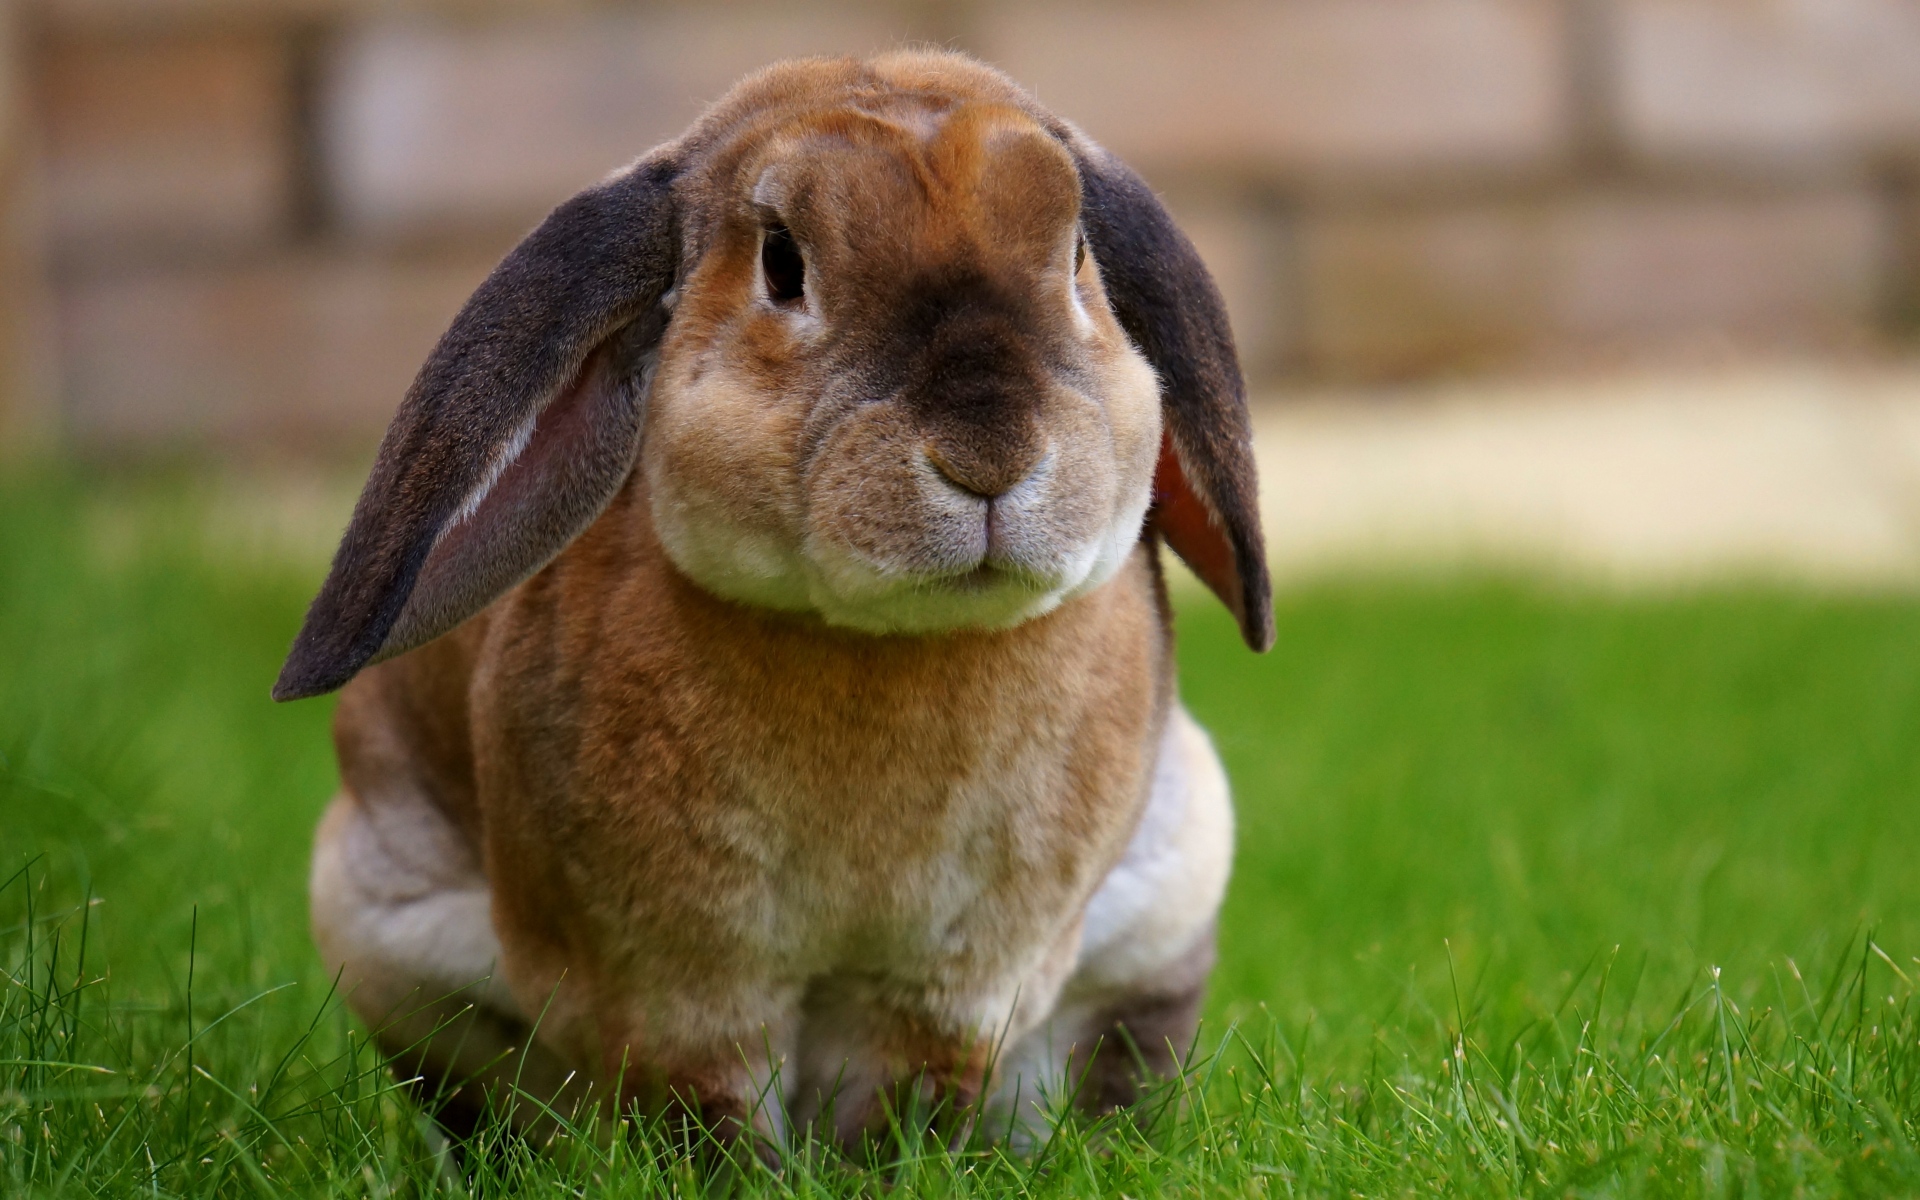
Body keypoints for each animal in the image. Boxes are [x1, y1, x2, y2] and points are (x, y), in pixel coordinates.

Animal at [280, 48, 1271, 1151]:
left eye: (1078, 255)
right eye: (783, 264)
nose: (989, 454)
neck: (886, 645)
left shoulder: (948, 988)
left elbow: (901, 1103)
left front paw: (886, 1167)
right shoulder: (677, 987)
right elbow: (707, 1110)